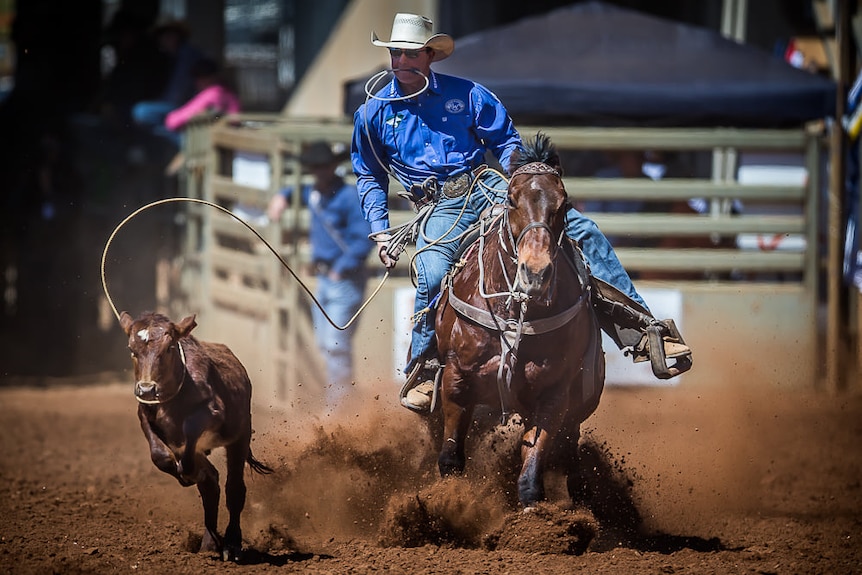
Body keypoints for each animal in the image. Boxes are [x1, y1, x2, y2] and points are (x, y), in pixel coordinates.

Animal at [119, 312, 274, 560]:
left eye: (170, 347)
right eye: (132, 350)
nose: (146, 389)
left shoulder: (211, 412)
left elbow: (191, 430)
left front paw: (191, 473)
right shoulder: (145, 414)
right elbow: (159, 455)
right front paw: (186, 473)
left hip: (240, 437)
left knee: (234, 489)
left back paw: (232, 544)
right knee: (210, 485)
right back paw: (209, 542)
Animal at [436, 134, 604, 508]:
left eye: (564, 203)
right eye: (511, 200)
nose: (536, 274)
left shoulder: (553, 394)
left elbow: (532, 465)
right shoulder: (456, 379)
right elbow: (450, 457)